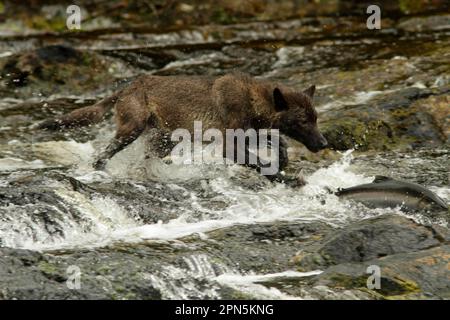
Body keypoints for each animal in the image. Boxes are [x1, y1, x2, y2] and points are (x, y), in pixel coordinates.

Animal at [39, 74, 326, 181]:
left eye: (315, 118)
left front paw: (283, 161)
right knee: (102, 156)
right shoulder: (230, 147)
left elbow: (279, 142)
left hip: (164, 141)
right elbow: (258, 162)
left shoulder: (251, 134)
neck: (254, 100)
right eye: (303, 121)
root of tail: (128, 87)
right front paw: (282, 177)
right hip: (131, 131)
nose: (324, 144)